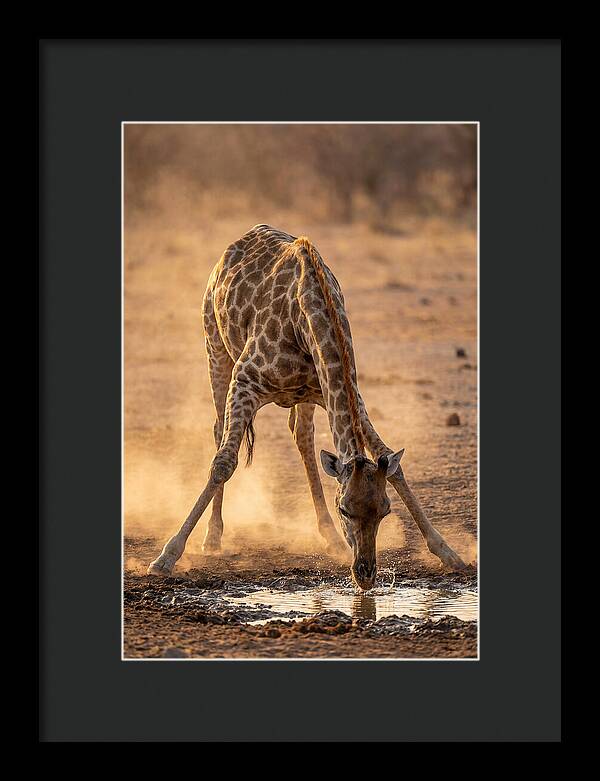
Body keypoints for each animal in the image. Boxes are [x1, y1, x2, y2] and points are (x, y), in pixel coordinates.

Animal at [147, 224, 466, 588]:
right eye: (345, 509)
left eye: (385, 510)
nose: (366, 574)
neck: (309, 316)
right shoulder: (245, 380)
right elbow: (224, 464)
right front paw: (167, 556)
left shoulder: (342, 391)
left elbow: (391, 463)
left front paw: (448, 552)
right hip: (215, 348)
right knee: (219, 431)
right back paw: (213, 538)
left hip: (303, 396)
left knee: (302, 436)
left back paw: (330, 538)